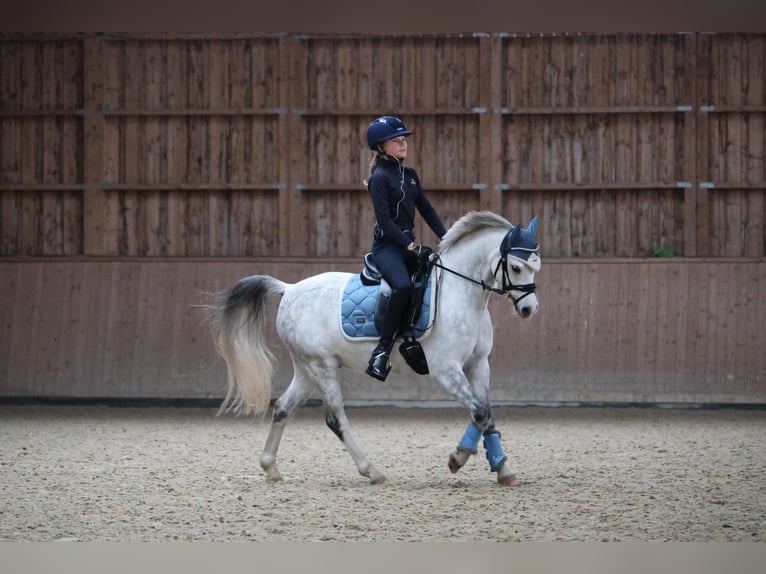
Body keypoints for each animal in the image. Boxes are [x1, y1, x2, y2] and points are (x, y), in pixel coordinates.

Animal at [205, 210, 541, 486]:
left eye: (535, 266)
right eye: (516, 267)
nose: (529, 309)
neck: (459, 293)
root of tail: (289, 289)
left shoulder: (478, 364)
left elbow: (486, 414)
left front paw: (502, 468)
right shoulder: (446, 369)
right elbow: (480, 412)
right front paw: (457, 458)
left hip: (306, 368)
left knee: (283, 408)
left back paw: (271, 467)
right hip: (322, 366)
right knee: (335, 419)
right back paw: (372, 471)